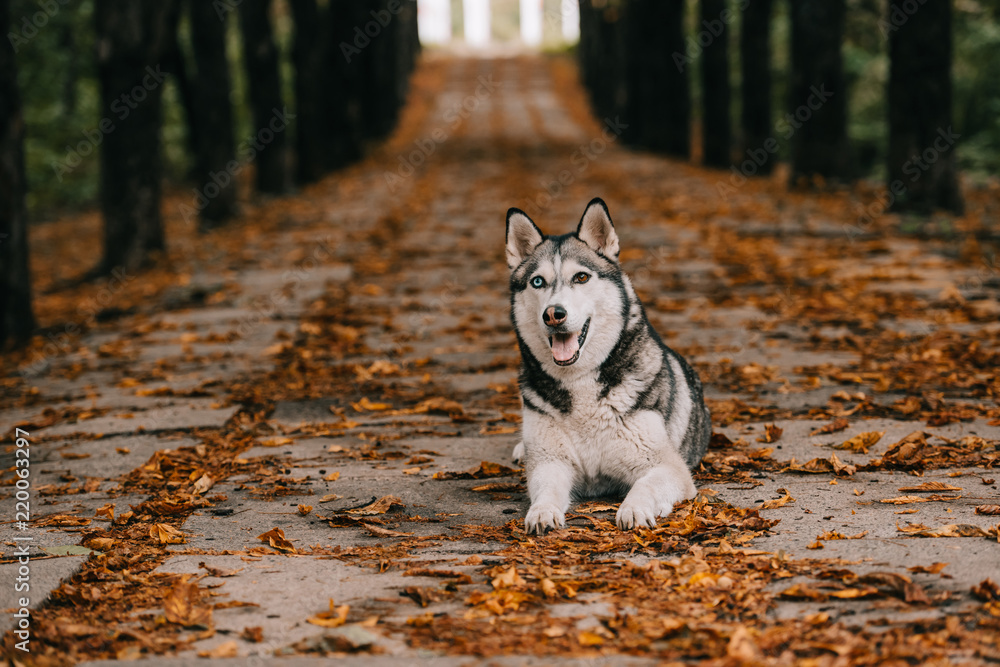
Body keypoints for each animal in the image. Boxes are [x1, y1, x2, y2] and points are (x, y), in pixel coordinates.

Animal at [508, 201, 712, 536]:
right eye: (538, 281)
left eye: (581, 277)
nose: (553, 314)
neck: (580, 381)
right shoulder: (551, 463)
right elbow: (547, 490)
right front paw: (542, 512)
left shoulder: (668, 467)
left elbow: (644, 486)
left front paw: (634, 508)